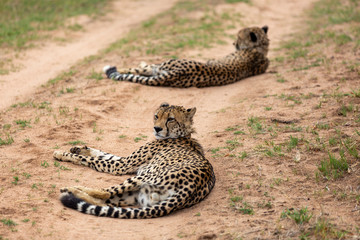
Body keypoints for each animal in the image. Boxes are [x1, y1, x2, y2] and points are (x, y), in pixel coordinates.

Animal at [53, 102, 215, 218]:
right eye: (156, 116)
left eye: (171, 119)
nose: (157, 128)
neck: (182, 135)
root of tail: (191, 189)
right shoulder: (124, 162)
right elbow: (103, 154)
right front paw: (79, 148)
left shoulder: (121, 165)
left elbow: (88, 159)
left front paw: (61, 153)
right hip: (137, 195)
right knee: (107, 203)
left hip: (142, 178)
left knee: (105, 193)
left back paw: (70, 189)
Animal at [102, 25, 268, 87]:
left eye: (239, 38)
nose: (234, 43)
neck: (261, 49)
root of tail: (179, 72)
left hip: (161, 66)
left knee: (137, 69)